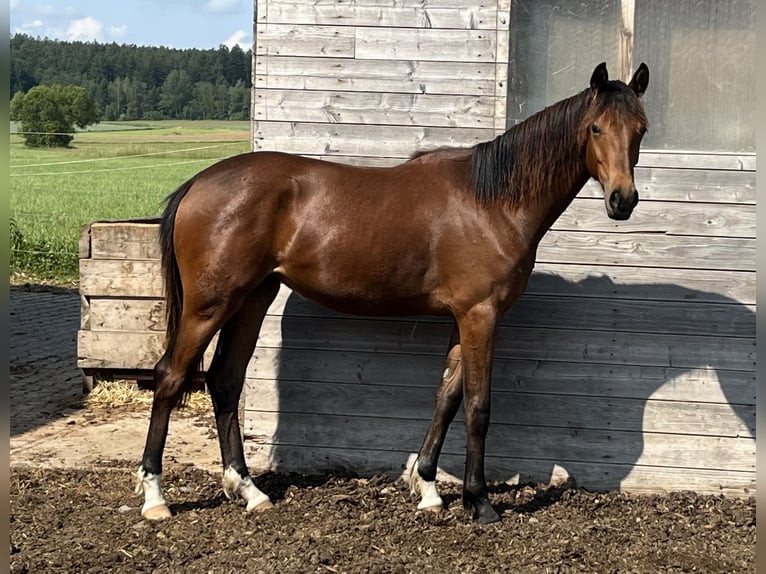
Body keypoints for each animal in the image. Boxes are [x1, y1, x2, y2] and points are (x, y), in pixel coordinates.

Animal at [136, 63, 648, 528]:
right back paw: (155, 497)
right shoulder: (480, 315)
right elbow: (478, 407)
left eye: (641, 129)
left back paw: (249, 490)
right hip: (210, 305)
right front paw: (479, 502)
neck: (493, 201)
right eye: (597, 127)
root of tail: (197, 184)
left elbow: (446, 397)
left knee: (225, 379)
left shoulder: (463, 319)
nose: (623, 200)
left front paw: (428, 488)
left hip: (252, 299)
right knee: (169, 376)